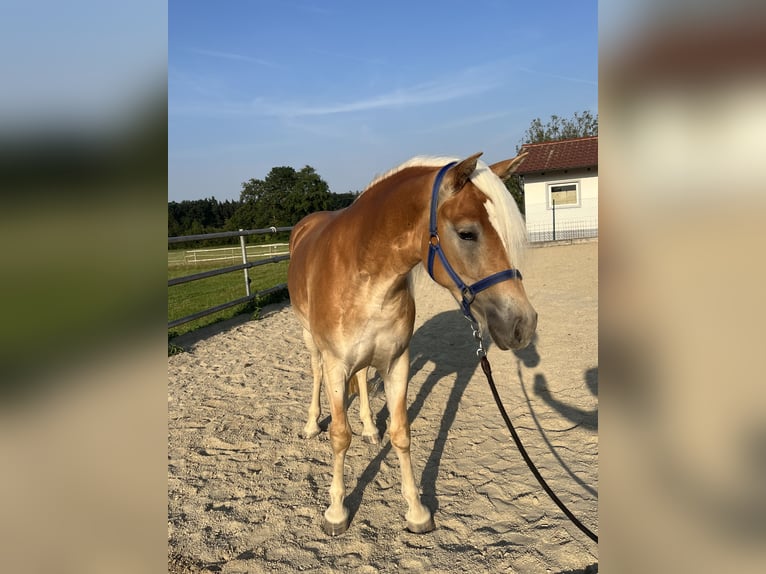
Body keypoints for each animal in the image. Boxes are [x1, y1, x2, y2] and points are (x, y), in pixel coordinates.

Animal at [290, 152, 540, 536]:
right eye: (467, 233)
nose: (523, 324)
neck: (363, 273)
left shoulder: (397, 362)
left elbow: (401, 432)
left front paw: (417, 511)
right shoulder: (336, 364)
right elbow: (339, 436)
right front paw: (336, 512)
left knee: (362, 378)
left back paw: (369, 428)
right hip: (311, 341)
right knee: (315, 373)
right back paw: (310, 425)